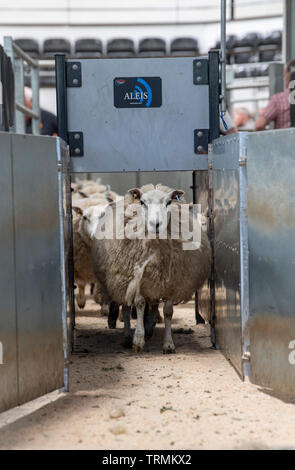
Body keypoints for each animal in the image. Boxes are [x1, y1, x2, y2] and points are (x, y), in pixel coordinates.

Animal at [89, 184, 210, 352]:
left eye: (168, 202)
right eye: (142, 202)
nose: (156, 224)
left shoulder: (172, 281)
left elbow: (168, 311)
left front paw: (168, 343)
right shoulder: (138, 280)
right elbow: (139, 304)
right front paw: (138, 340)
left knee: (152, 305)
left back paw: (149, 328)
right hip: (124, 281)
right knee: (126, 309)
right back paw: (128, 336)